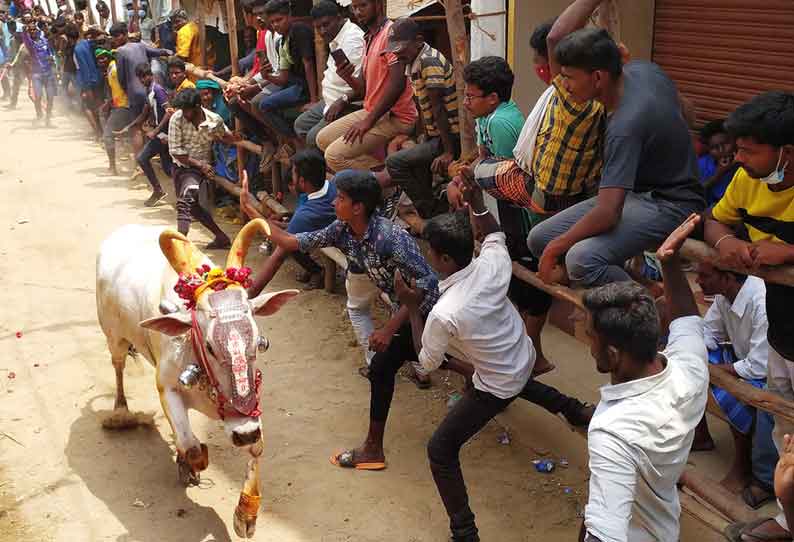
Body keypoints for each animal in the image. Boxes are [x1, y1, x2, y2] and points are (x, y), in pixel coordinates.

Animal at [95, 221, 294, 540]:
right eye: (210, 346)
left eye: (258, 343)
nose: (244, 434)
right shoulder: (167, 388)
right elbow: (191, 445)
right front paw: (192, 462)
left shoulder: (250, 413)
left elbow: (256, 448)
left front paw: (245, 514)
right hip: (114, 337)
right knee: (118, 368)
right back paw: (121, 412)